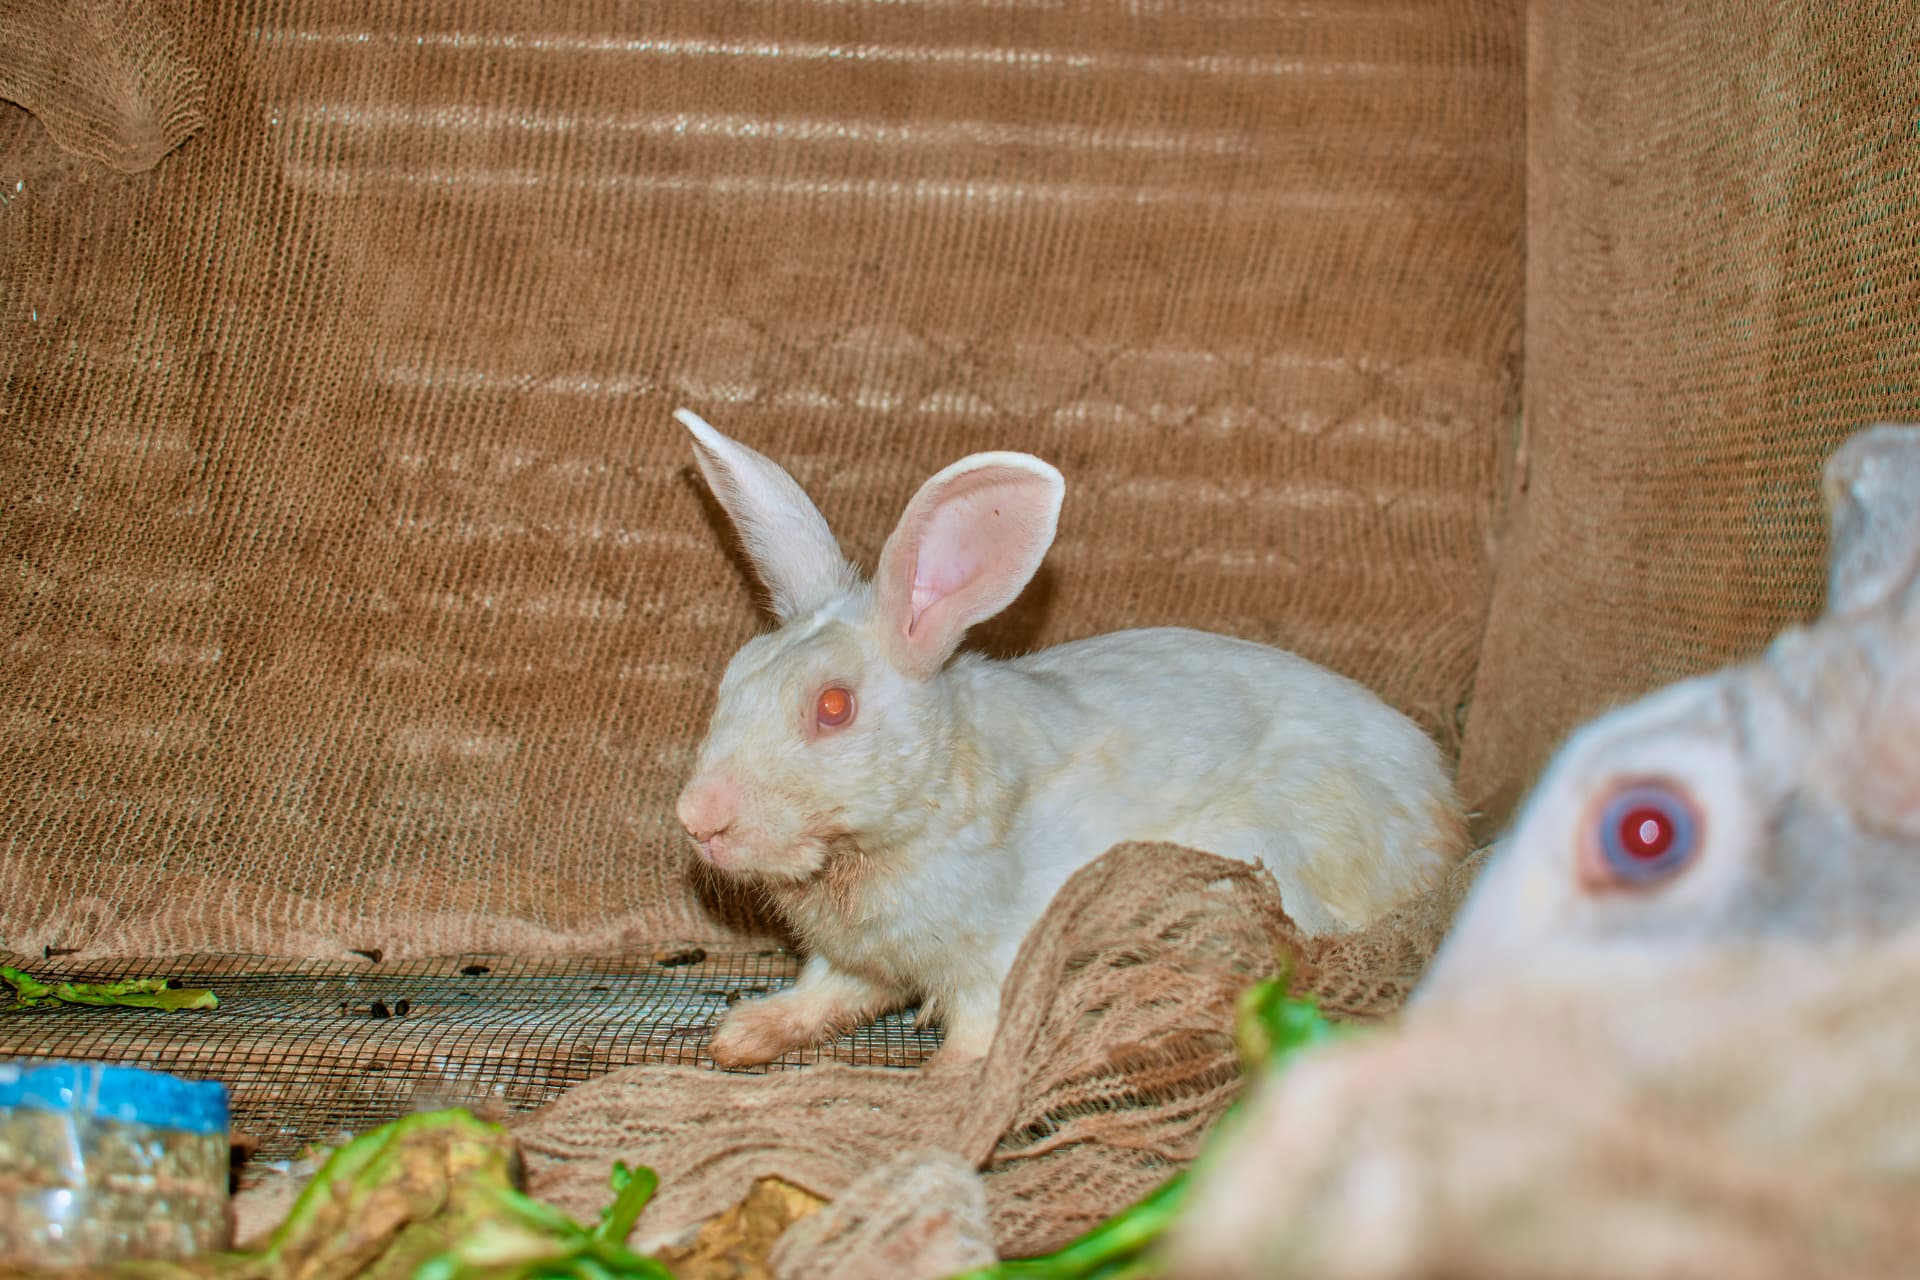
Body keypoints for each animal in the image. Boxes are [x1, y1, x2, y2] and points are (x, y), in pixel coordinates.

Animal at [671, 408, 1467, 1069]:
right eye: (734, 677)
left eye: (834, 707)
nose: (697, 818)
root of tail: (1446, 818)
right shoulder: (853, 961)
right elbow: (820, 992)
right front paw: (740, 1039)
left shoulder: (1001, 964)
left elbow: (980, 1037)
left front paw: (944, 1089)